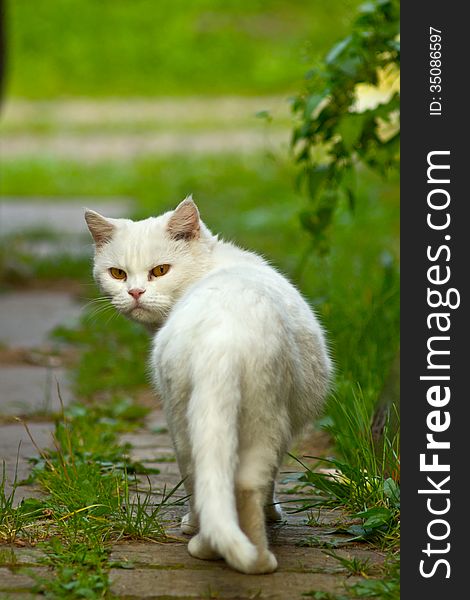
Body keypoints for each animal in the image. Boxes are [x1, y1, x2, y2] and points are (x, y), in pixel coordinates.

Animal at [85, 197, 334, 572]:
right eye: (118, 273)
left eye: (160, 271)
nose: (135, 292)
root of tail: (222, 338)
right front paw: (274, 514)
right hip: (260, 419)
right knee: (241, 485)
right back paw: (248, 556)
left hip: (190, 418)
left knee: (212, 480)